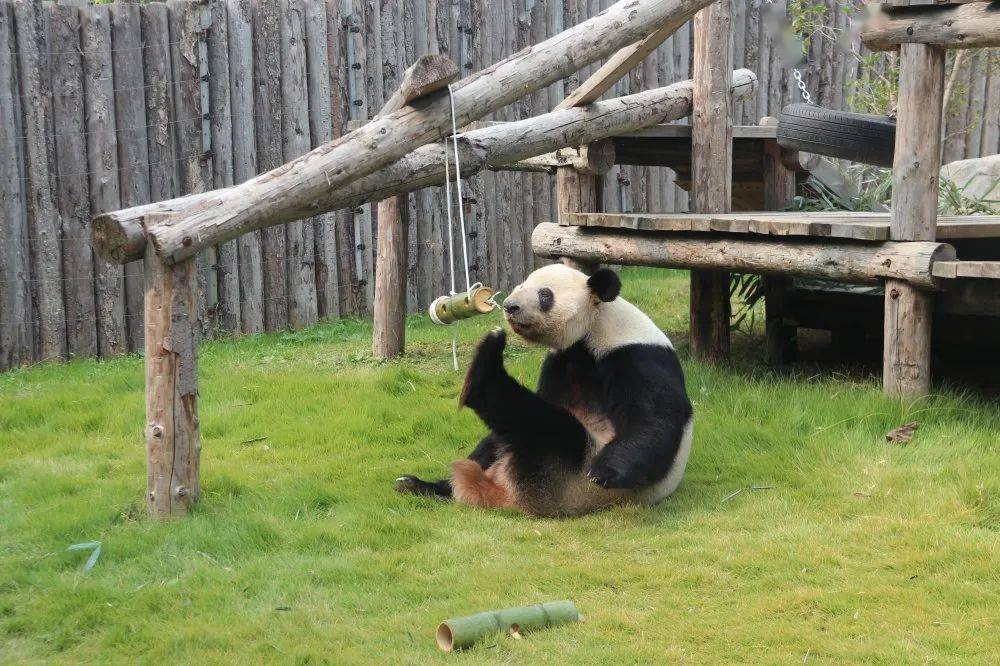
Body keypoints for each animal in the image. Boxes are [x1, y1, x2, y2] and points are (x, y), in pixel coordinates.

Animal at [394, 262, 692, 516]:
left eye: (544, 294)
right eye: (520, 285)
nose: (510, 306)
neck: (594, 328)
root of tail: (505, 494)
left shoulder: (636, 355)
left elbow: (652, 420)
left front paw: (606, 471)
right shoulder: (562, 361)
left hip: (564, 476)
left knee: (545, 425)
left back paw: (485, 366)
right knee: (495, 441)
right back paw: (421, 485)